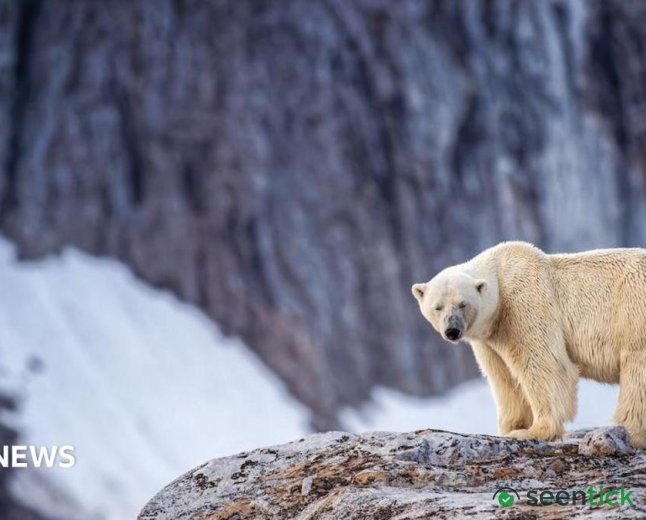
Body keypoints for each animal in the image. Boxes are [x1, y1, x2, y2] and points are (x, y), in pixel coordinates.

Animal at [412, 241, 646, 448]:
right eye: (438, 307)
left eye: (463, 304)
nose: (452, 331)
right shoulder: (490, 339)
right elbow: (504, 377)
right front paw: (511, 427)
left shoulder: (525, 303)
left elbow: (544, 364)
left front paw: (533, 431)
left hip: (633, 306)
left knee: (636, 369)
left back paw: (629, 432)